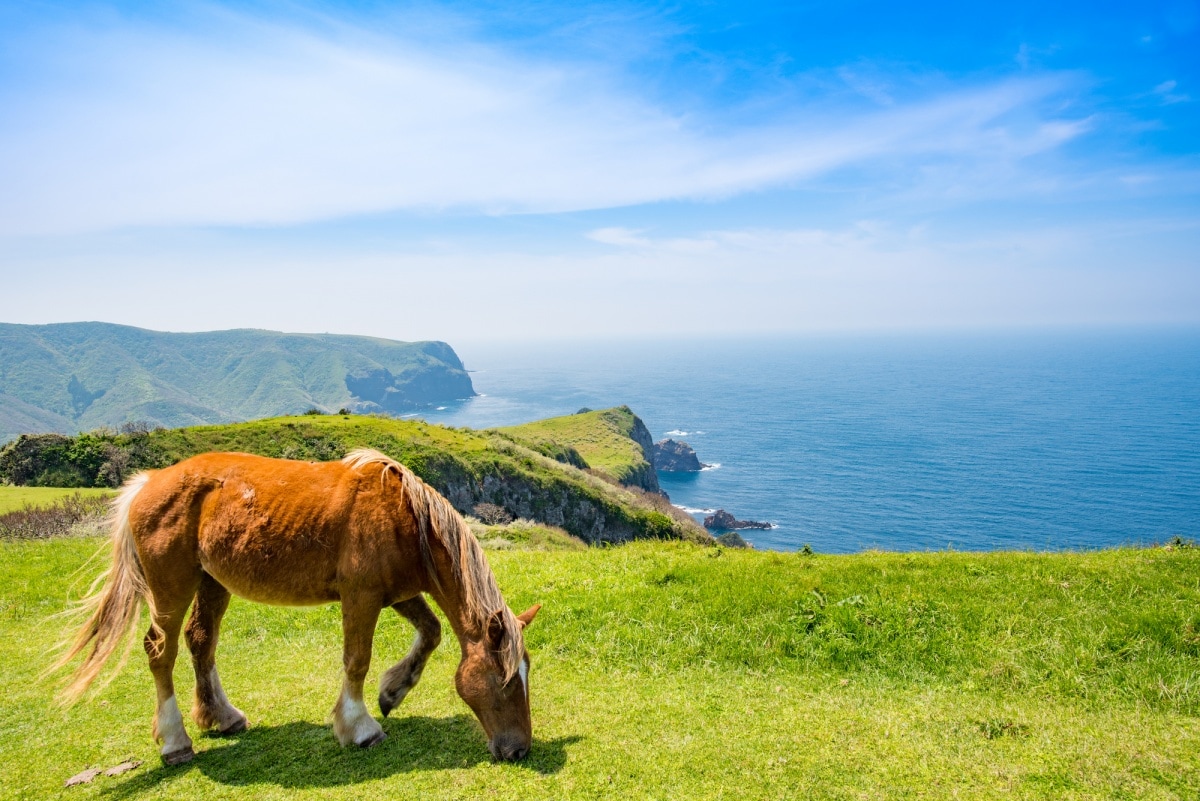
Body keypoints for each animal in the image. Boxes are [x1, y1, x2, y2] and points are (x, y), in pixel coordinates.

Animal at [56, 448, 542, 767]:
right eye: (504, 680)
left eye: (526, 674)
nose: (519, 749)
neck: (404, 518)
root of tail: (148, 482)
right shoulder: (362, 596)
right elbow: (357, 660)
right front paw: (359, 727)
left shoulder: (399, 592)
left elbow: (431, 633)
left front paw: (393, 691)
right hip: (170, 588)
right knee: (161, 652)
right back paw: (175, 742)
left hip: (213, 581)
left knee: (201, 642)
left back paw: (222, 716)